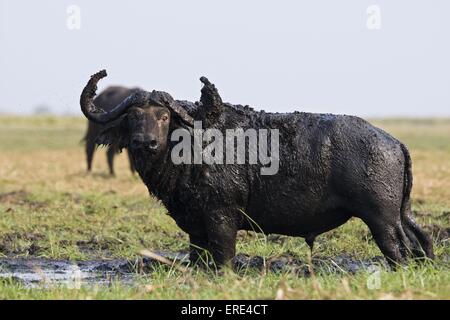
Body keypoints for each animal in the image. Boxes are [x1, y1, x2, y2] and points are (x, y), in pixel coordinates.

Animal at [79, 70, 434, 268]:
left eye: (164, 116)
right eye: (133, 116)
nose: (145, 142)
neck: (191, 147)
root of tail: (394, 143)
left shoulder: (222, 217)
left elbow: (223, 258)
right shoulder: (194, 225)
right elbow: (198, 258)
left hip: (382, 220)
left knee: (399, 251)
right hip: (401, 215)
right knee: (422, 242)